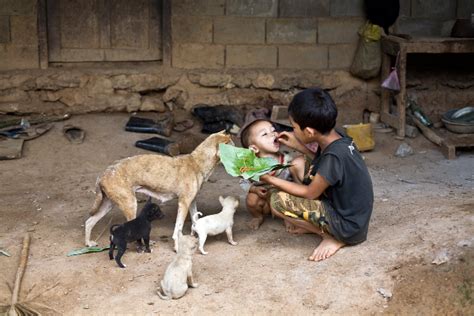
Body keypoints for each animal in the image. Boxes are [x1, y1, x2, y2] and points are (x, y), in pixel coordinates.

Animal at [86, 130, 234, 251]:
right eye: (233, 146)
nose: (242, 152)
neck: (196, 163)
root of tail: (103, 174)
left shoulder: (191, 202)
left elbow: (195, 219)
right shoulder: (183, 203)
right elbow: (178, 229)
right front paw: (176, 247)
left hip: (108, 205)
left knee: (89, 222)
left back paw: (88, 244)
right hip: (130, 205)